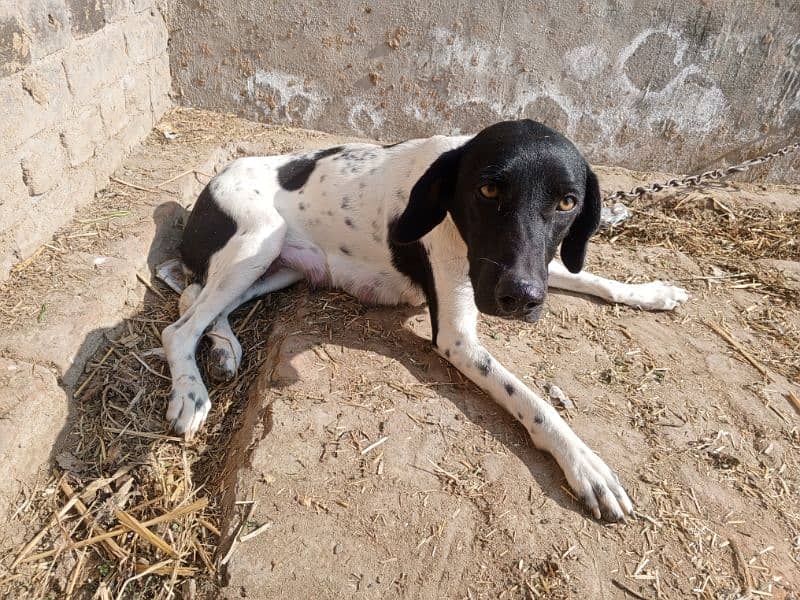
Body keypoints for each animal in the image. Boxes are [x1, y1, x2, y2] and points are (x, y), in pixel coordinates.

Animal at [162, 120, 688, 520]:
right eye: (488, 188)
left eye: (567, 202)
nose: (520, 298)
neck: (449, 205)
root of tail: (212, 183)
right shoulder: (458, 335)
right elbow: (533, 400)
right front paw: (584, 463)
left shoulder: (533, 266)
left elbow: (595, 279)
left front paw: (651, 292)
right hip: (258, 242)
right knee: (179, 325)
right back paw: (191, 393)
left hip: (283, 266)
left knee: (197, 298)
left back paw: (224, 348)